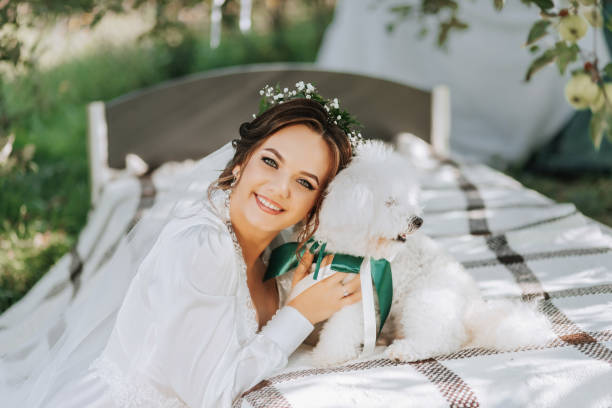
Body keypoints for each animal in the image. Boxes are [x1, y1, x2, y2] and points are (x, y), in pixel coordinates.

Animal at [280, 140, 552, 366]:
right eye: (389, 202)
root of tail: (472, 308)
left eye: (408, 198)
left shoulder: (352, 296)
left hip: (425, 300)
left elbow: (340, 331)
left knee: (443, 339)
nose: (418, 221)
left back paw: (404, 350)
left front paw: (327, 356)